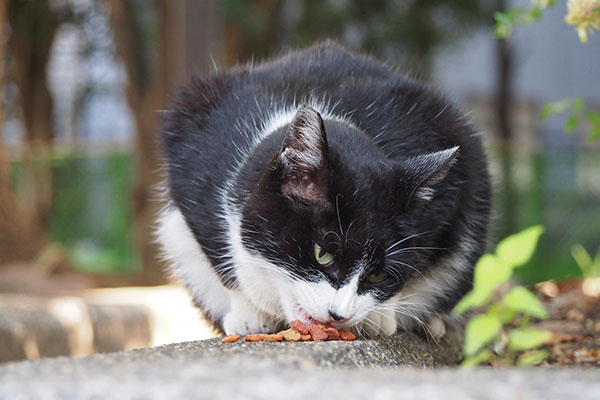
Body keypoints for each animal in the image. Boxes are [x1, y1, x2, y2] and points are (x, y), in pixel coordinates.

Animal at [157, 40, 490, 338]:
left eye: (378, 273)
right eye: (323, 254)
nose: (339, 314)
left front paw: (379, 316)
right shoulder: (193, 164)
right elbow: (220, 255)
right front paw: (248, 315)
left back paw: (435, 324)